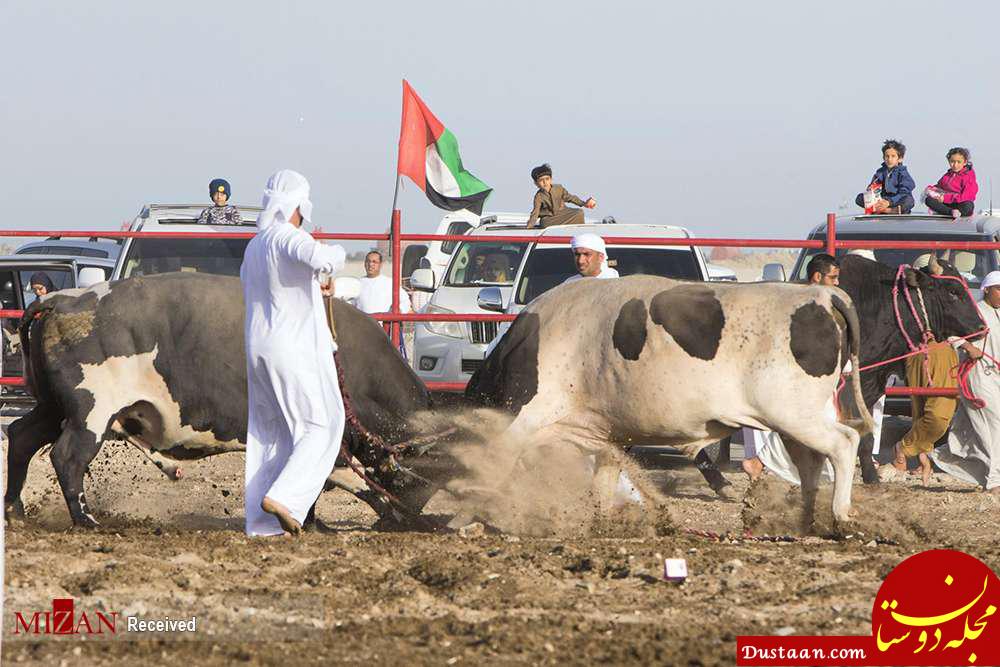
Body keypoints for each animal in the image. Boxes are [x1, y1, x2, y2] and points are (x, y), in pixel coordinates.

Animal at [3, 274, 434, 528]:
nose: (416, 515)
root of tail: (61, 300)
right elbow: (343, 479)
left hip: (53, 407)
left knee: (21, 437)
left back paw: (15, 511)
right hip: (89, 413)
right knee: (67, 458)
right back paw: (86, 520)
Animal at [468, 276, 876, 528]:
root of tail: (823, 295)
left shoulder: (528, 415)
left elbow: (494, 459)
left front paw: (471, 514)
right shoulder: (607, 433)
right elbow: (603, 480)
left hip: (795, 414)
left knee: (843, 443)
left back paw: (840, 514)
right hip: (796, 420)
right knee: (811, 463)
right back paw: (806, 518)